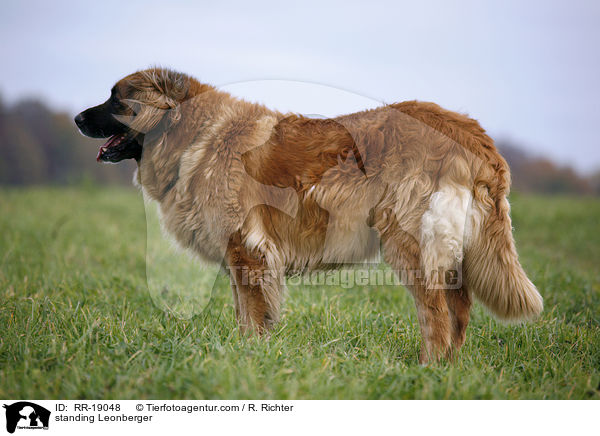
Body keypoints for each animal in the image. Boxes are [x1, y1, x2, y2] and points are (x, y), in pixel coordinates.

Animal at [76, 67, 544, 362]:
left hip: (408, 242)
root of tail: (473, 133)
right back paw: (449, 371)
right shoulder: (242, 259)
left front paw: (250, 356)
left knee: (437, 314)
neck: (192, 133)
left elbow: (253, 314)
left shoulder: (248, 252)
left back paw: (429, 368)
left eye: (116, 99)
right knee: (459, 310)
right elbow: (244, 313)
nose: (77, 118)